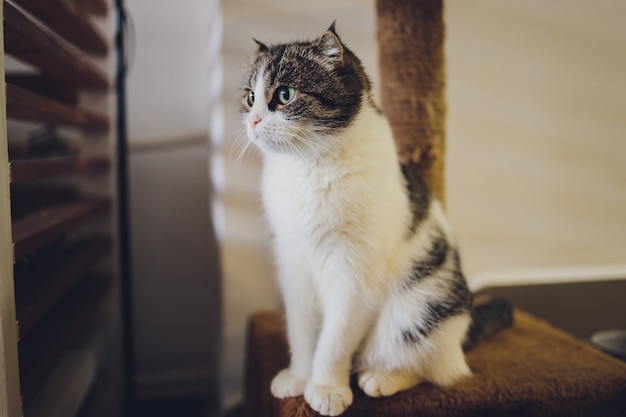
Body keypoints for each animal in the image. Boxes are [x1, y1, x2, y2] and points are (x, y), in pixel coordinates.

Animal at [239, 22, 512, 416]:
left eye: (285, 95)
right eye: (249, 97)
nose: (253, 121)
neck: (308, 169)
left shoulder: (355, 273)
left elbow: (334, 340)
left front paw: (326, 389)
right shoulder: (293, 264)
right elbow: (302, 330)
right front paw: (300, 378)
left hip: (416, 311)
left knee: (432, 367)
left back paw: (382, 378)